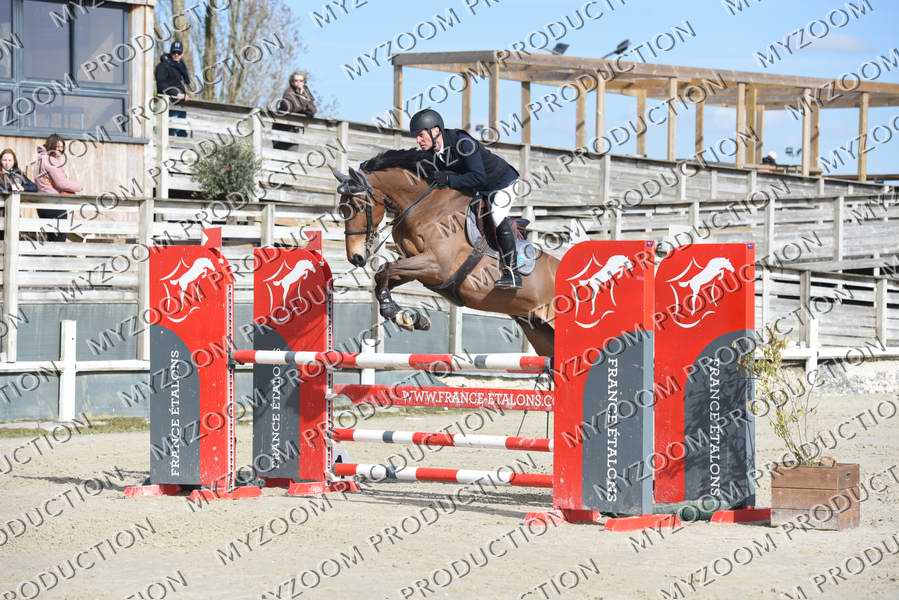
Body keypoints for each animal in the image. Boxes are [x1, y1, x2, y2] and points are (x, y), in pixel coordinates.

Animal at [331, 149, 559, 358]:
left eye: (357, 205)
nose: (355, 257)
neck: (424, 207)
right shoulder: (414, 264)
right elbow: (382, 276)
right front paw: (406, 317)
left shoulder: (436, 266)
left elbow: (385, 269)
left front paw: (395, 313)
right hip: (538, 330)